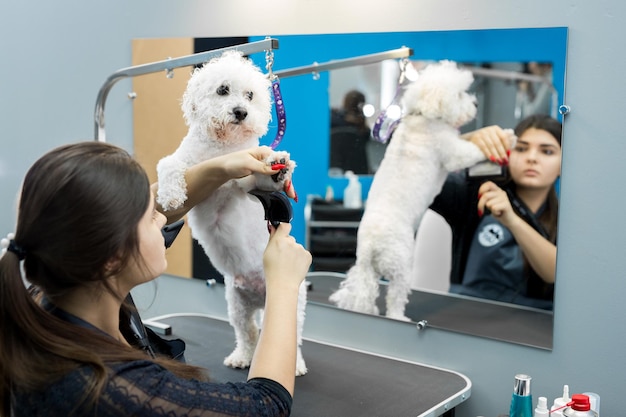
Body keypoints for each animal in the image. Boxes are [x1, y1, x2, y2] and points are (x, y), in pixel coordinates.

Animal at [156, 50, 308, 376]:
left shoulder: (245, 183)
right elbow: (169, 166)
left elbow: (260, 179)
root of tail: (262, 298)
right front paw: (171, 194)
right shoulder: (188, 164)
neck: (222, 148)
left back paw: (297, 364)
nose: (241, 112)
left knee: (294, 339)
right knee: (248, 333)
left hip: (294, 304)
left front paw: (278, 168)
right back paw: (242, 356)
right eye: (223, 89)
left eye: (250, 95)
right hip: (236, 305)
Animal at [330, 59, 486, 318]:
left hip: (368, 269)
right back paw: (398, 316)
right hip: (401, 266)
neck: (423, 116)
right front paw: (505, 138)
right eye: (460, 94)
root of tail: (372, 244)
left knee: (364, 292)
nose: (475, 104)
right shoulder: (451, 150)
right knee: (395, 296)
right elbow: (470, 151)